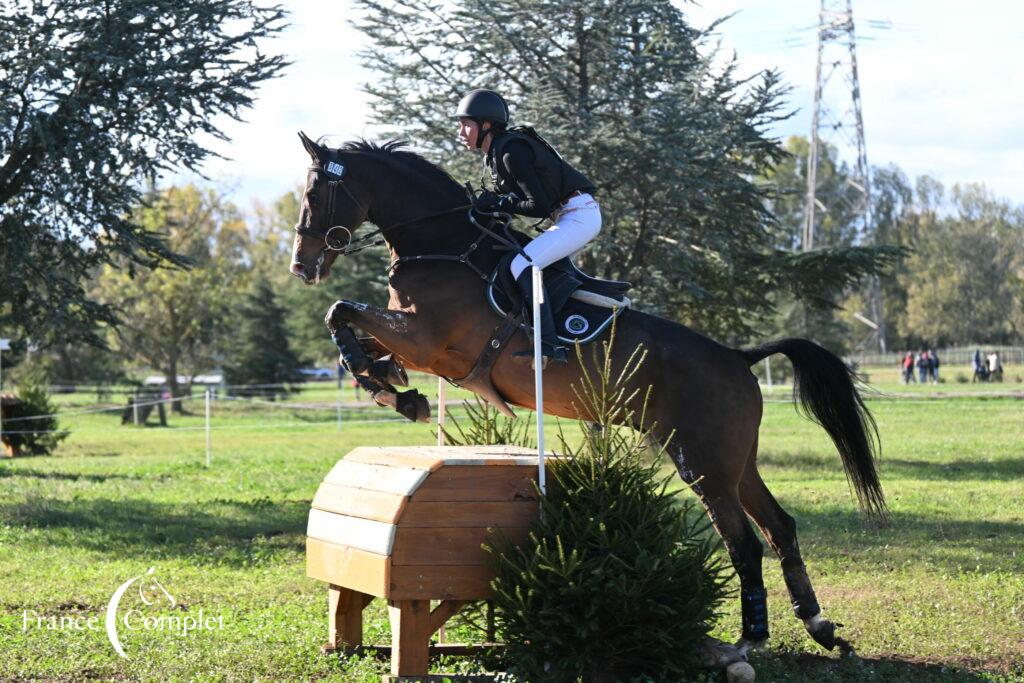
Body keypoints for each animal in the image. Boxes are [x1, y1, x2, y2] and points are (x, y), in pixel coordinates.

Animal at [290, 132, 888, 655]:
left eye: (315, 193)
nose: (301, 266)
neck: (441, 246)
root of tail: (738, 358)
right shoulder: (415, 344)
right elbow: (348, 328)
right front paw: (393, 388)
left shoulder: (427, 340)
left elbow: (340, 312)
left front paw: (394, 392)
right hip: (735, 462)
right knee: (780, 526)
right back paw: (817, 625)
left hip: (702, 462)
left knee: (744, 541)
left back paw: (752, 638)